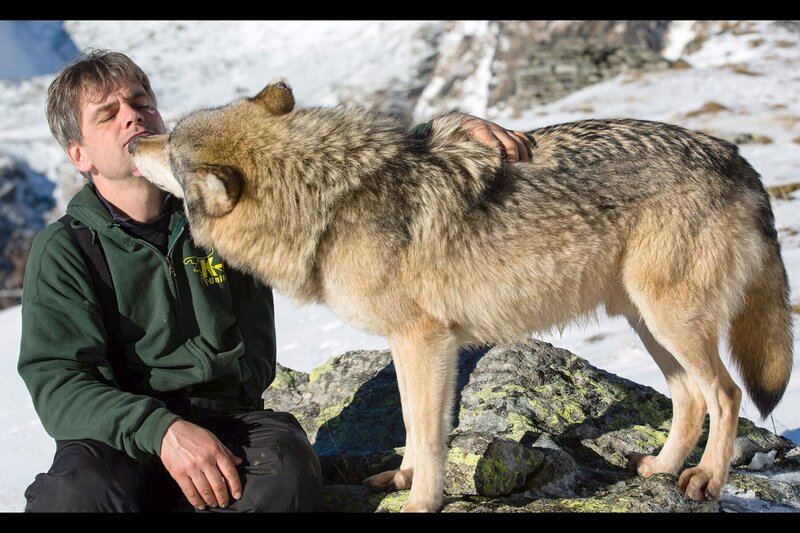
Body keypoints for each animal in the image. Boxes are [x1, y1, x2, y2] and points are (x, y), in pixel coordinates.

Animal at [130, 80, 793, 512]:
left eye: (169, 145)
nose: (134, 142)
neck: (333, 200)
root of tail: (738, 159)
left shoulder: (426, 340)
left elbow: (427, 431)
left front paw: (423, 502)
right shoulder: (410, 345)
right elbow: (409, 420)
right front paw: (401, 479)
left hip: (671, 320)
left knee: (727, 394)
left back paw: (705, 480)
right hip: (648, 324)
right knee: (689, 397)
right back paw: (661, 467)